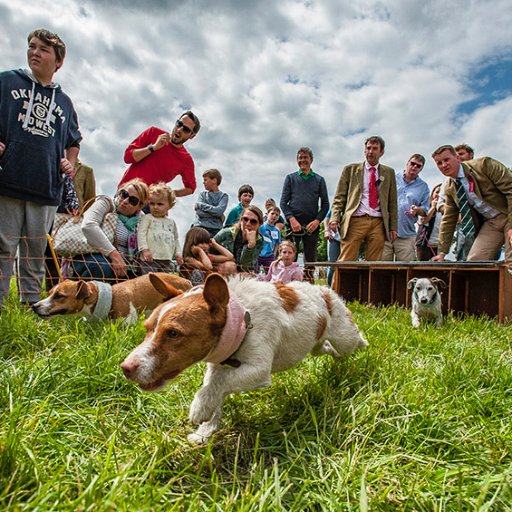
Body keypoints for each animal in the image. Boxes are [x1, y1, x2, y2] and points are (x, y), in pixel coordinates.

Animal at [121, 272, 368, 444]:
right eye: (147, 328)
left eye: (173, 333)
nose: (125, 367)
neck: (242, 321)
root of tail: (325, 291)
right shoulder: (218, 366)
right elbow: (214, 387)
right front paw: (205, 432)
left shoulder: (258, 370)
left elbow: (218, 385)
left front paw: (199, 407)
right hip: (316, 346)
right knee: (325, 348)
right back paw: (336, 357)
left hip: (344, 336)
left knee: (354, 339)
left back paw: (365, 348)